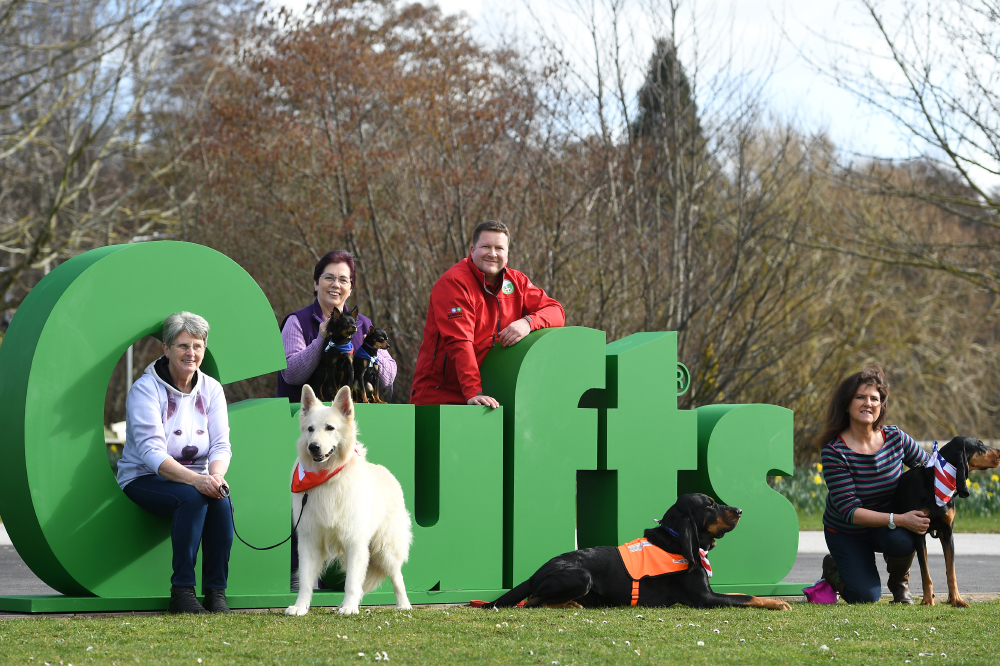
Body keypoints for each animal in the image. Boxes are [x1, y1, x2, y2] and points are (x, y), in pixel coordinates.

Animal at [288, 382, 412, 616]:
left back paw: (404, 605)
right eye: (310, 429)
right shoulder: (309, 540)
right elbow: (306, 579)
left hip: (385, 548)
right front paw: (300, 607)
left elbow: (352, 581)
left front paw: (348, 608)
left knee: (397, 576)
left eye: (330, 428)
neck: (328, 478)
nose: (313, 447)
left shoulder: (354, 541)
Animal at [480, 492, 792, 608]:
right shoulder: (704, 598)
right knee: (532, 602)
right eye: (710, 505)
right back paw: (570, 604)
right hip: (581, 576)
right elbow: (748, 597)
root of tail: (536, 573)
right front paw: (778, 603)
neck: (676, 540)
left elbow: (742, 594)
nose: (739, 511)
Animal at [892, 434, 1000, 604]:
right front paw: (927, 601)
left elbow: (951, 571)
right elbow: (925, 572)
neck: (934, 482)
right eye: (980, 446)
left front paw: (956, 599)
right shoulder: (919, 531)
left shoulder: (947, 533)